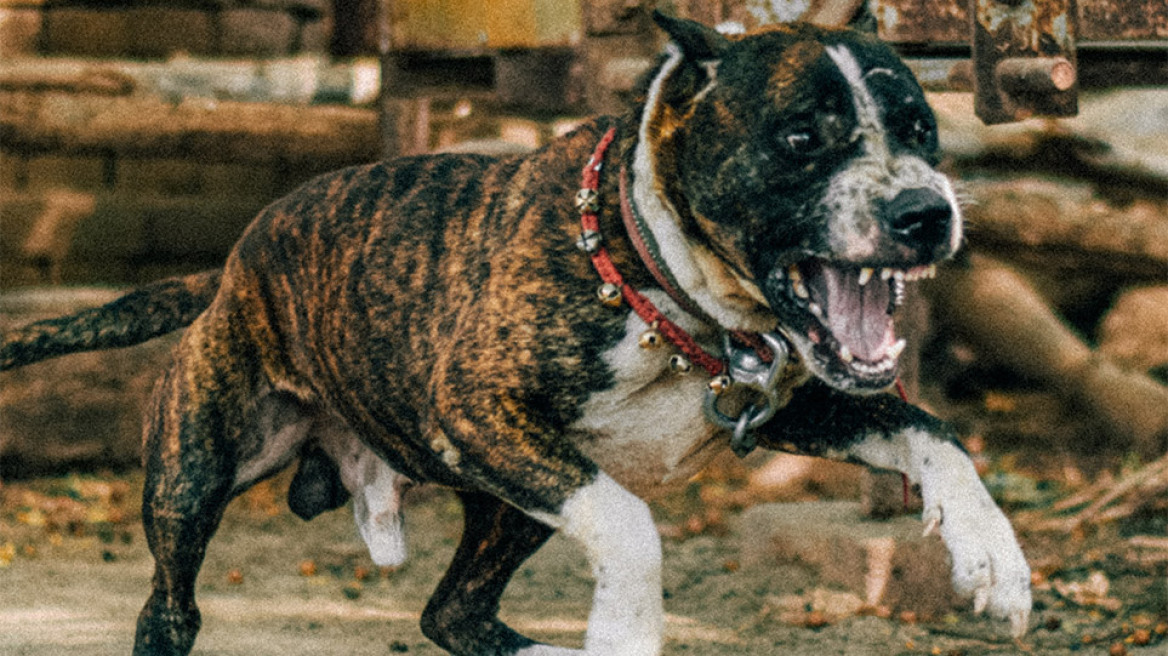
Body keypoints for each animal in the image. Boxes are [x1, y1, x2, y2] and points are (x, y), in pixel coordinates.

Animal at [0, 11, 1027, 653]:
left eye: (921, 130)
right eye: (801, 139)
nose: (925, 213)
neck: (656, 281)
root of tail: (232, 268)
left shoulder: (799, 405)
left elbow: (934, 432)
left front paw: (996, 559)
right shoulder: (477, 410)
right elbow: (631, 525)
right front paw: (624, 630)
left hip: (508, 509)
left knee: (452, 616)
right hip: (199, 475)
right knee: (169, 608)